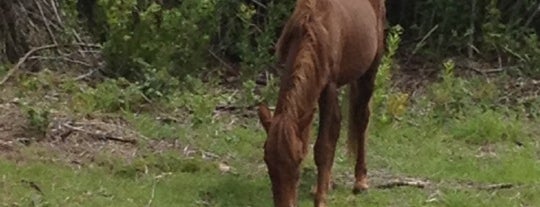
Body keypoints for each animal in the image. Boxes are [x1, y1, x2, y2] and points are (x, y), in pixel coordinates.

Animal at [256, 0, 384, 207]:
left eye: (297, 162)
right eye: (267, 161)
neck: (315, 32)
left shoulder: (329, 86)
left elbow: (323, 146)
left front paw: (321, 198)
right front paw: (321, 187)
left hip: (371, 67)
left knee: (361, 119)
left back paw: (360, 180)